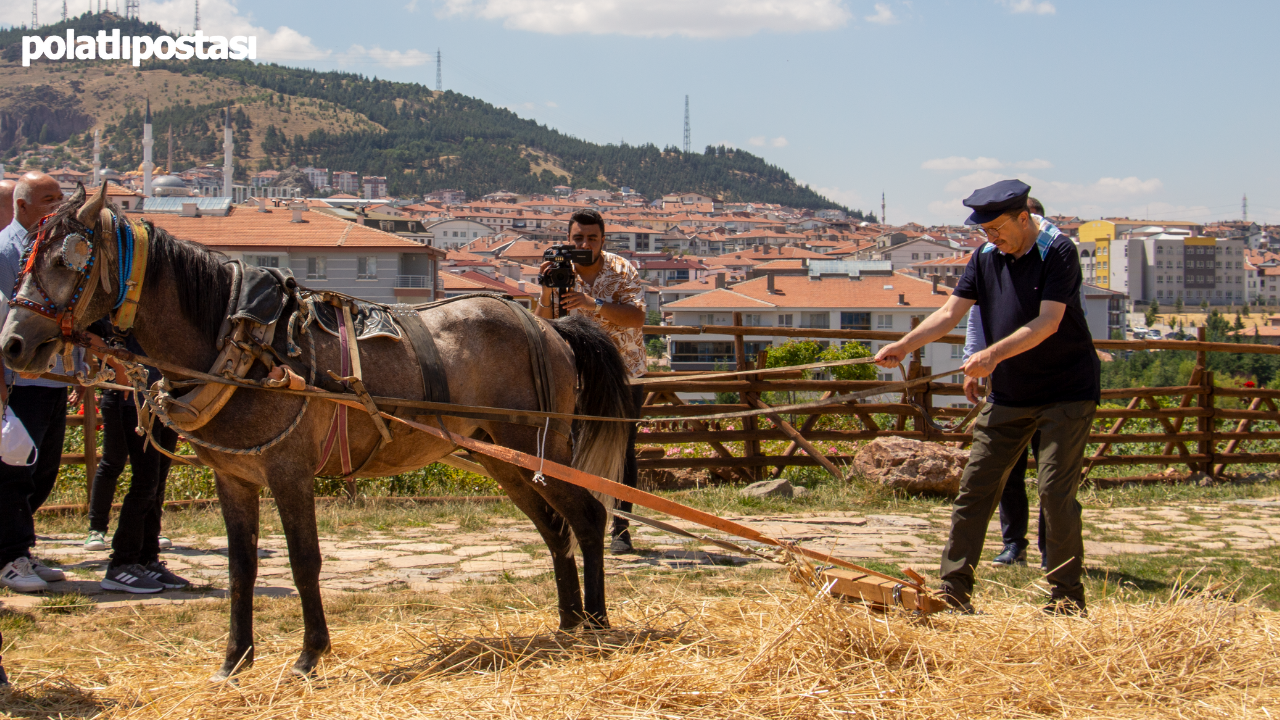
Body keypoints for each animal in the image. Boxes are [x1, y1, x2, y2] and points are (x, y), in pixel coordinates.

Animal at [2, 184, 632, 676]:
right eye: (29, 255)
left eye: (68, 259)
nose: (13, 343)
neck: (242, 342)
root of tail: (549, 324)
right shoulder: (235, 478)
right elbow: (242, 567)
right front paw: (235, 660)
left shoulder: (290, 472)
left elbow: (304, 560)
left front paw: (310, 655)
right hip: (503, 457)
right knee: (554, 526)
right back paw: (568, 620)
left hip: (541, 445)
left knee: (587, 516)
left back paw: (598, 620)